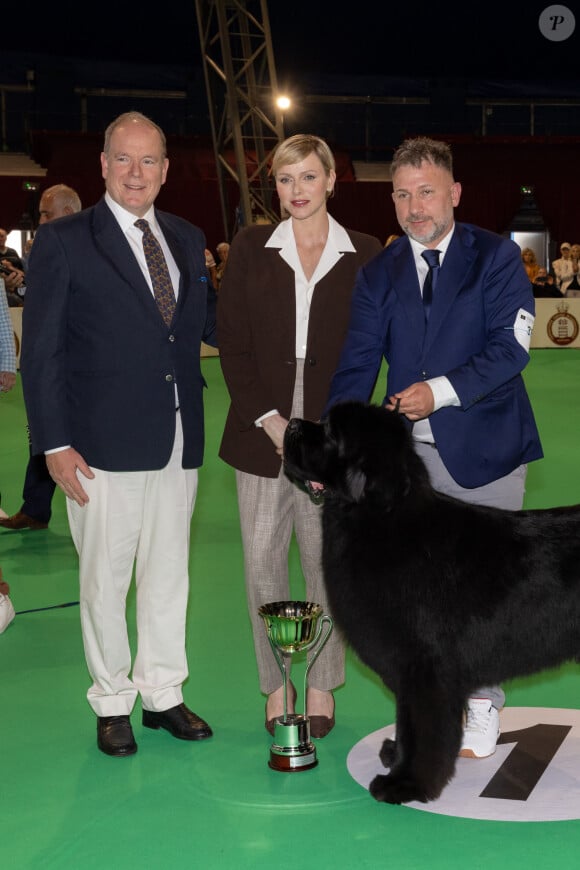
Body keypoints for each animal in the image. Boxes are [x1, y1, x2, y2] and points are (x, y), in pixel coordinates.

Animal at [284, 406, 580, 808]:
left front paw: (406, 783)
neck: (381, 519)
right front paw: (395, 755)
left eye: (331, 432)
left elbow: (423, 729)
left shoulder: (425, 668)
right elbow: (406, 722)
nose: (292, 424)